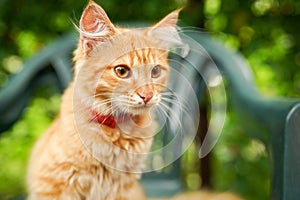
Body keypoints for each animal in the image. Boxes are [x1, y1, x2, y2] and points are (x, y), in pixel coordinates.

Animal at [26, 1, 244, 200]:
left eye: (155, 71)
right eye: (121, 71)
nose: (147, 95)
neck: (115, 133)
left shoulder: (123, 191)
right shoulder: (53, 187)